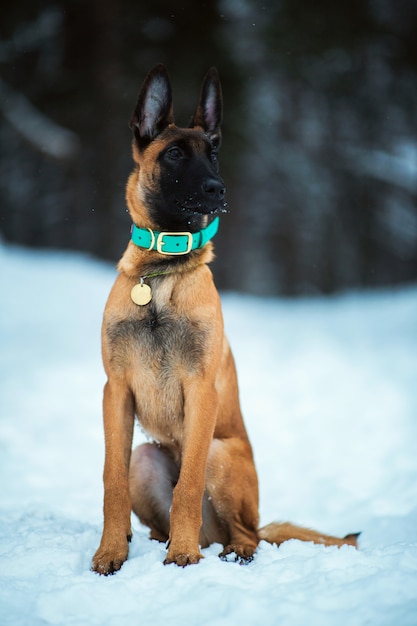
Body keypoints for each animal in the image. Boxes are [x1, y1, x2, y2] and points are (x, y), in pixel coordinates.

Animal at [91, 66, 358, 572]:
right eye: (175, 153)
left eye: (213, 153)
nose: (219, 189)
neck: (161, 272)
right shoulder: (115, 392)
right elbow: (110, 481)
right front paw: (111, 550)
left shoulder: (201, 393)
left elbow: (189, 484)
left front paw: (182, 555)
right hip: (145, 458)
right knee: (159, 512)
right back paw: (156, 542)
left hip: (220, 452)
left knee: (246, 532)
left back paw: (223, 550)